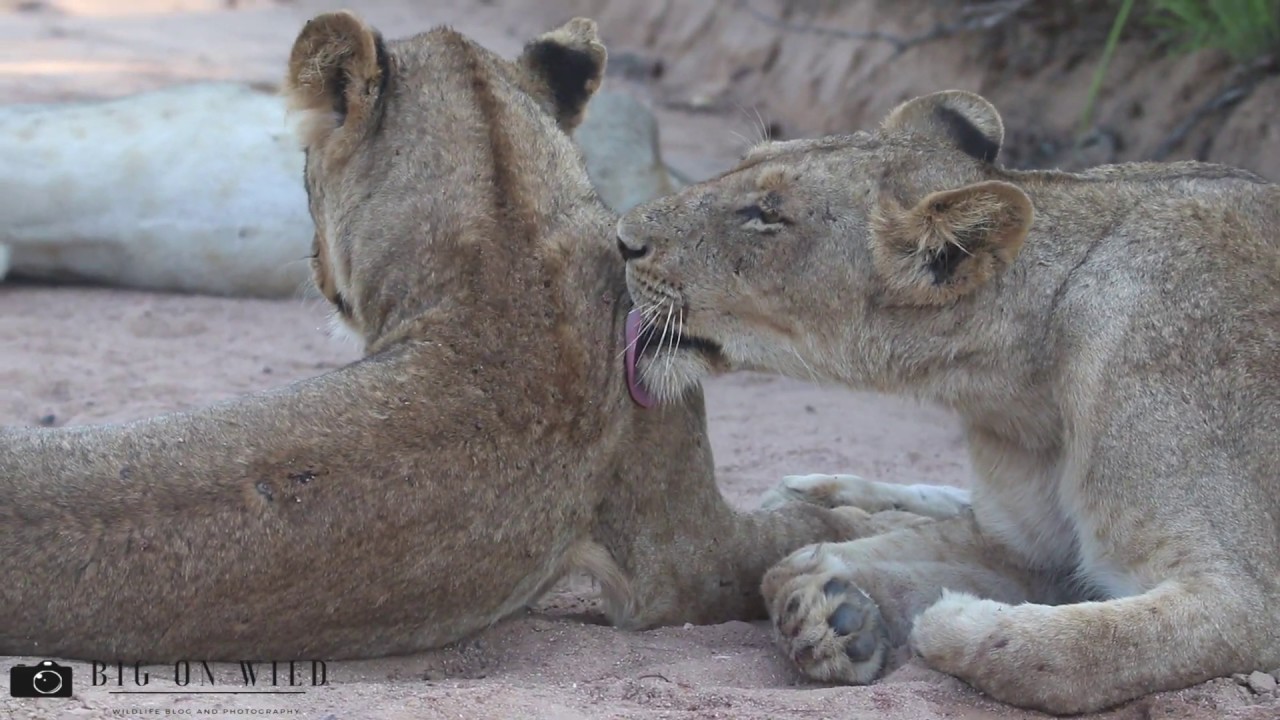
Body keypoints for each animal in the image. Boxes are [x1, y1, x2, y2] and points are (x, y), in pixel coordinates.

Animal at [615, 88, 1280, 715]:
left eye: (766, 214)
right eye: (743, 166)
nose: (620, 239)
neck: (1022, 392)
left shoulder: (1251, 598)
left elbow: (1058, 655)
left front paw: (946, 619)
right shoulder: (1023, 548)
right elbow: (797, 562)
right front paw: (834, 613)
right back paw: (816, 493)